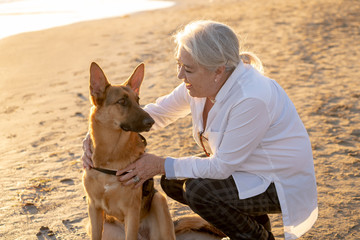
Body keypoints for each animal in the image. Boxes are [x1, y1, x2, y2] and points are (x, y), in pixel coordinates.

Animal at [83, 62, 226, 240]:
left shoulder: (132, 211)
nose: (150, 121)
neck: (111, 156)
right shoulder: (94, 209)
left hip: (159, 200)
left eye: (138, 100)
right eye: (122, 101)